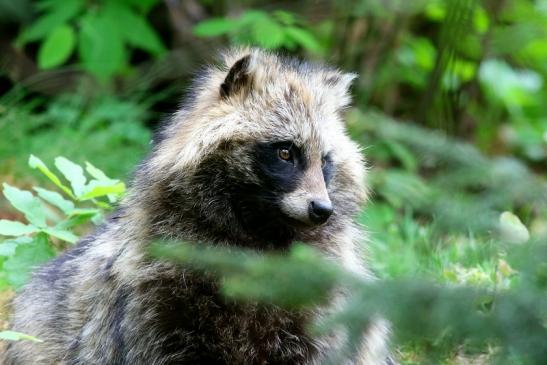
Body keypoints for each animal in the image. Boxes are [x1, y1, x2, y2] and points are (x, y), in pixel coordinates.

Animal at [3, 48, 394, 364]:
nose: (322, 210)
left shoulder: (319, 303)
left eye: (325, 161)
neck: (259, 235)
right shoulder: (156, 294)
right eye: (286, 152)